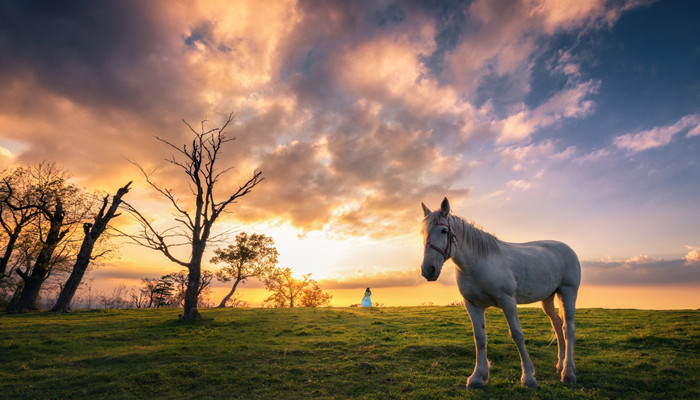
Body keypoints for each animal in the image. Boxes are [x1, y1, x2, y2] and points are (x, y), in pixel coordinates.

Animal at [422, 198, 580, 390]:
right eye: (423, 232)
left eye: (444, 231)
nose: (428, 270)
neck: (477, 264)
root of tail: (567, 248)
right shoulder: (473, 305)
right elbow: (480, 338)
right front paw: (477, 377)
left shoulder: (507, 302)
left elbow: (517, 335)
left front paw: (528, 377)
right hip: (547, 299)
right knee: (557, 325)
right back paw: (560, 365)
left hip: (568, 292)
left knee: (568, 328)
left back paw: (568, 372)